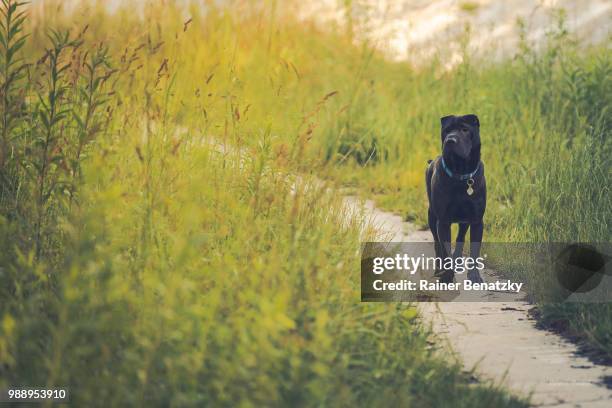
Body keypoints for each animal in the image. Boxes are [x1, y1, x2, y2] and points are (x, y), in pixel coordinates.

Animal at [426, 113, 488, 282]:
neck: (460, 175)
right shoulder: (443, 222)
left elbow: (474, 251)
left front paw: (474, 277)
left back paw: (458, 261)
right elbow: (445, 249)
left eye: (465, 130)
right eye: (447, 131)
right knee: (437, 244)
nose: (450, 140)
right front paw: (447, 277)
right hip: (432, 216)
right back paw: (439, 269)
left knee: (460, 237)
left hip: (464, 219)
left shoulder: (477, 221)